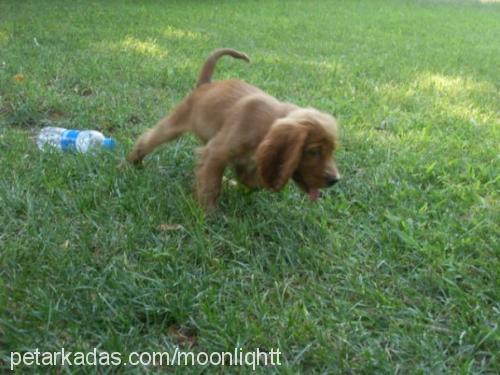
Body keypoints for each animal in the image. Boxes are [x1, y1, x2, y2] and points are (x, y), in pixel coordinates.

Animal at [127, 48, 342, 210]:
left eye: (332, 151)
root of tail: (205, 85)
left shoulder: (245, 162)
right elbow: (211, 186)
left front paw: (229, 184)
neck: (265, 125)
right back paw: (131, 162)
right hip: (175, 122)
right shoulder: (215, 153)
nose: (335, 180)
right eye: (313, 151)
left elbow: (249, 180)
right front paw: (209, 214)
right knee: (148, 138)